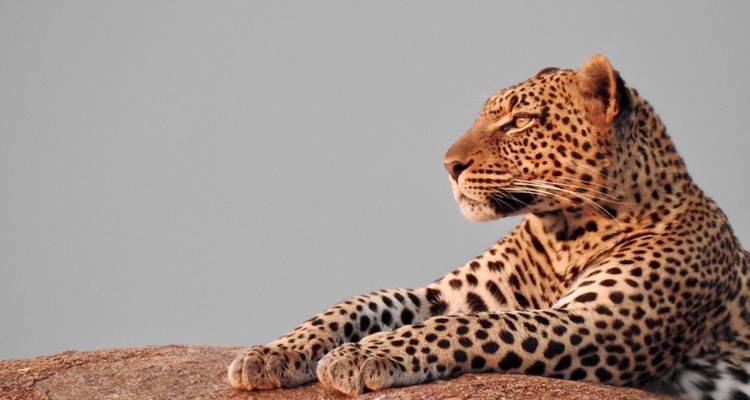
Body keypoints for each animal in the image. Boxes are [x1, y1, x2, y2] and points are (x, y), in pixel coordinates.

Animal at [227, 54, 750, 400]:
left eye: (519, 122)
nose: (448, 165)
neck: (564, 234)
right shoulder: (451, 293)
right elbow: (357, 303)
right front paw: (272, 353)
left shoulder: (598, 326)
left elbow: (474, 326)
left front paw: (361, 356)